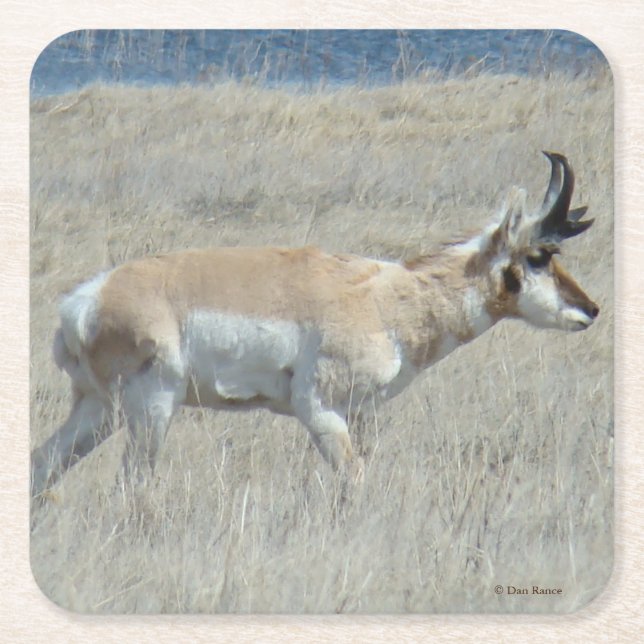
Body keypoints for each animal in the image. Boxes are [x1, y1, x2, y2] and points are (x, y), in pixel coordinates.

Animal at [31, 152, 599, 496]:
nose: (591, 310)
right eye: (540, 256)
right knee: (131, 485)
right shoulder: (321, 411)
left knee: (42, 464)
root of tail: (86, 298)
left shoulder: (364, 412)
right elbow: (354, 481)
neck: (387, 296)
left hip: (99, 411)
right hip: (151, 411)